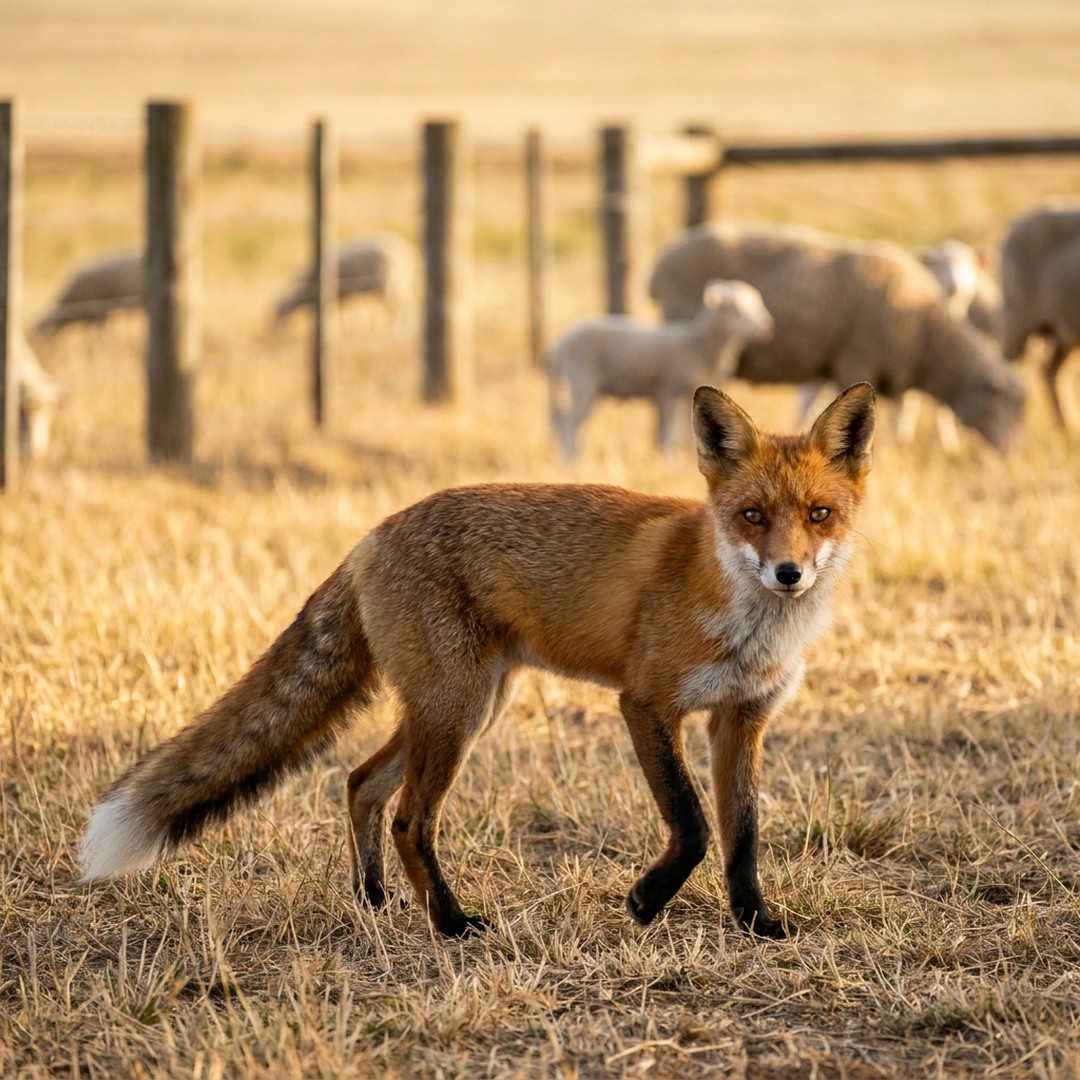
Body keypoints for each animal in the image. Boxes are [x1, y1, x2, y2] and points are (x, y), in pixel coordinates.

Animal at [79, 382, 876, 940]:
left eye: (819, 515)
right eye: (751, 516)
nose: (788, 574)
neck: (749, 623)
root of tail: (372, 534)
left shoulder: (741, 719)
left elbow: (743, 834)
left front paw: (756, 923)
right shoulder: (646, 703)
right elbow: (694, 824)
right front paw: (646, 902)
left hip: (464, 706)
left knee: (360, 782)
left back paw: (374, 899)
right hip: (457, 711)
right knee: (408, 818)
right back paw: (450, 923)